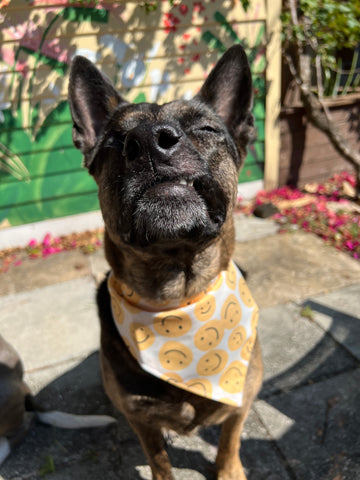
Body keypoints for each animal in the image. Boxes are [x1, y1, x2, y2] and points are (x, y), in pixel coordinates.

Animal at [67, 46, 262, 480]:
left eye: (206, 128)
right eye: (116, 139)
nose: (150, 142)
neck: (176, 300)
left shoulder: (242, 401)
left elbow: (230, 440)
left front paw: (229, 469)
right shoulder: (141, 419)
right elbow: (158, 458)